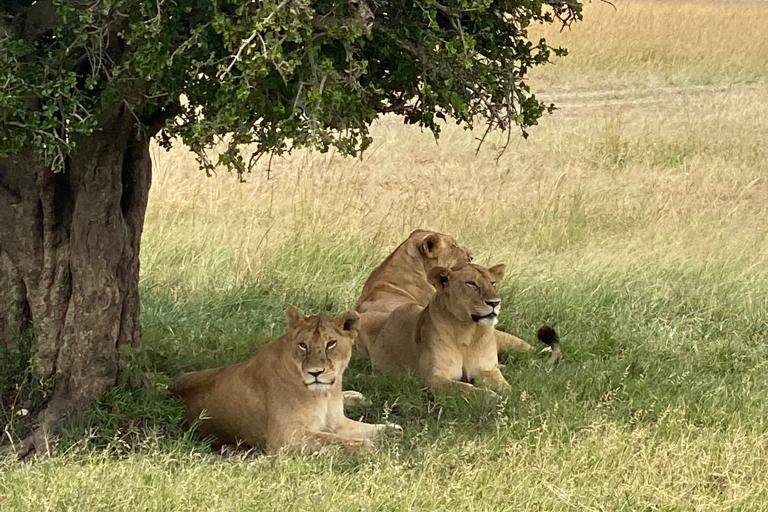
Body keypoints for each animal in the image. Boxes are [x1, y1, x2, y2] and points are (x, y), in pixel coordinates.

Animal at [173, 306, 402, 454]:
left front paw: (391, 430)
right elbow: (332, 439)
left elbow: (367, 428)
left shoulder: (337, 421)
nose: (315, 373)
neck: (325, 395)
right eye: (303, 345)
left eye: (331, 344)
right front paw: (365, 446)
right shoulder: (286, 436)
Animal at [368, 264, 516, 396]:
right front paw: (492, 397)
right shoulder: (433, 378)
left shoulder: (487, 369)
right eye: (471, 283)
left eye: (493, 283)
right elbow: (465, 389)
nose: (495, 302)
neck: (467, 330)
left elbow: (506, 388)